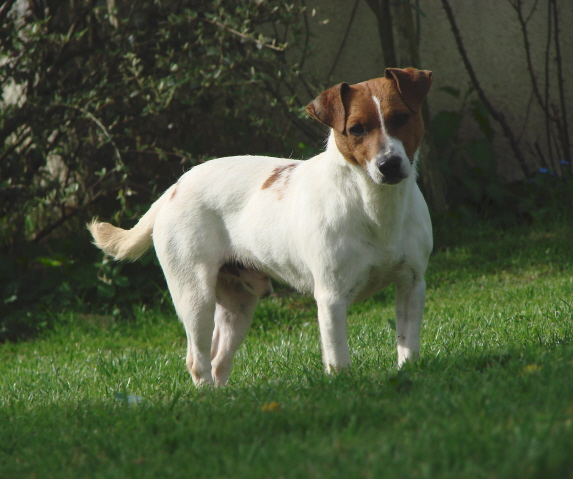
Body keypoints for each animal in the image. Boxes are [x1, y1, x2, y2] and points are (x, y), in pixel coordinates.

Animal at [89, 67, 432, 388]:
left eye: (401, 118)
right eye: (357, 129)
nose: (389, 165)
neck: (375, 208)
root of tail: (174, 188)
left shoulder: (412, 284)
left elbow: (408, 345)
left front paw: (409, 373)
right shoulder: (331, 298)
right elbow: (337, 357)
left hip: (238, 304)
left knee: (218, 359)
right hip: (195, 297)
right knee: (197, 360)